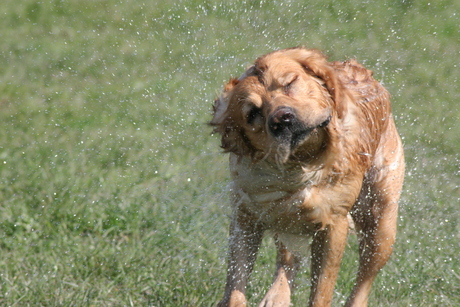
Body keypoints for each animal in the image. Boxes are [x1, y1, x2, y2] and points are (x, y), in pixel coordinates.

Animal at [210, 47, 404, 306]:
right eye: (252, 114)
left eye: (289, 82)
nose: (282, 119)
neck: (301, 164)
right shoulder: (247, 217)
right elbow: (235, 288)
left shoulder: (333, 224)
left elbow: (321, 290)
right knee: (288, 258)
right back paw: (277, 296)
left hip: (381, 223)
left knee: (364, 280)